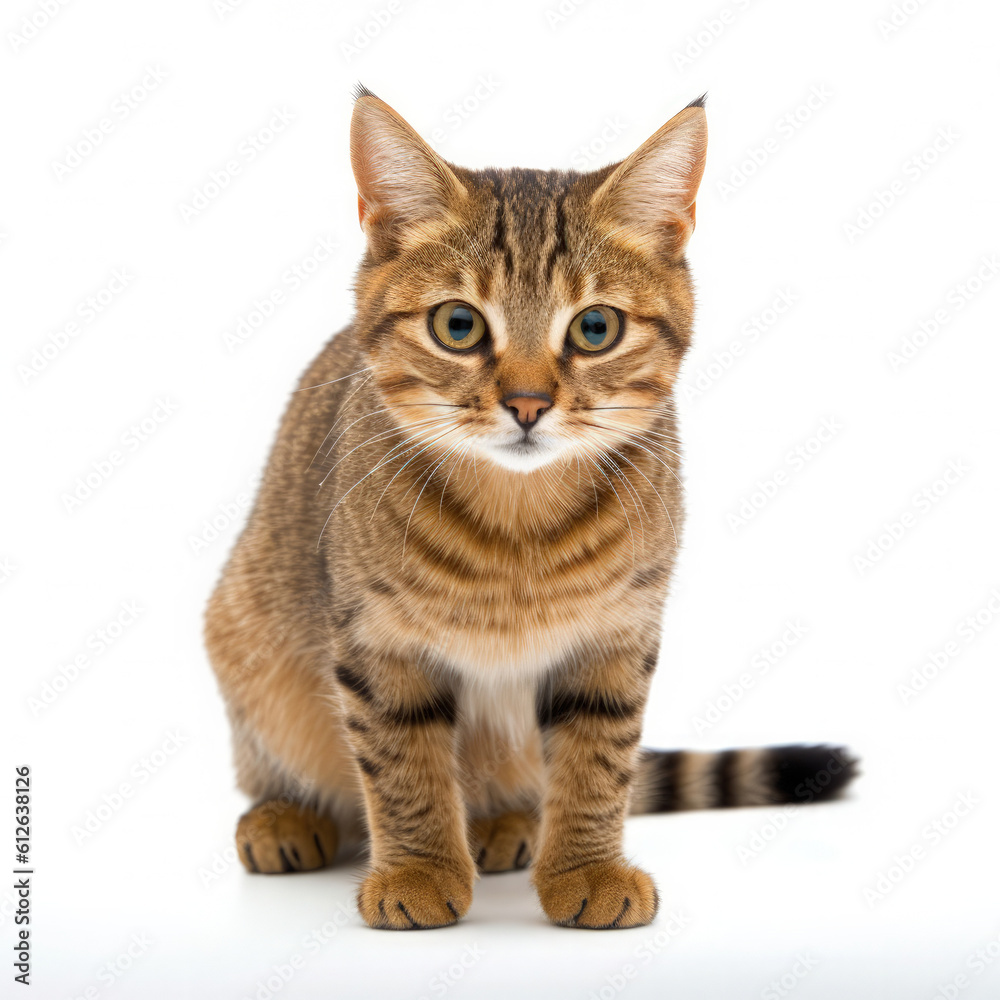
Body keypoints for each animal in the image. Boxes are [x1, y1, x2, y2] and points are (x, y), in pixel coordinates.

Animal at [205, 86, 860, 928]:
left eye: (595, 328)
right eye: (458, 325)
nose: (526, 403)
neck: (520, 525)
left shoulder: (616, 637)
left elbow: (597, 761)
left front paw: (586, 865)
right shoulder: (376, 642)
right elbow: (403, 763)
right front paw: (418, 867)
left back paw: (508, 822)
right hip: (244, 634)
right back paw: (286, 816)